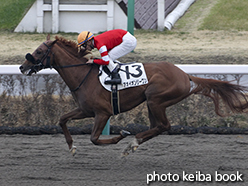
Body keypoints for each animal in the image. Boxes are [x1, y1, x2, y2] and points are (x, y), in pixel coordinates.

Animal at [20, 34, 248, 155]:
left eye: (39, 52)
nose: (22, 67)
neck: (83, 75)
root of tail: (185, 74)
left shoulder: (103, 113)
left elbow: (94, 138)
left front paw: (121, 135)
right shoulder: (85, 110)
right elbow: (62, 119)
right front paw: (71, 146)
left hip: (156, 99)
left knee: (164, 126)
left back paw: (132, 141)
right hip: (151, 103)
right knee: (158, 127)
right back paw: (135, 142)